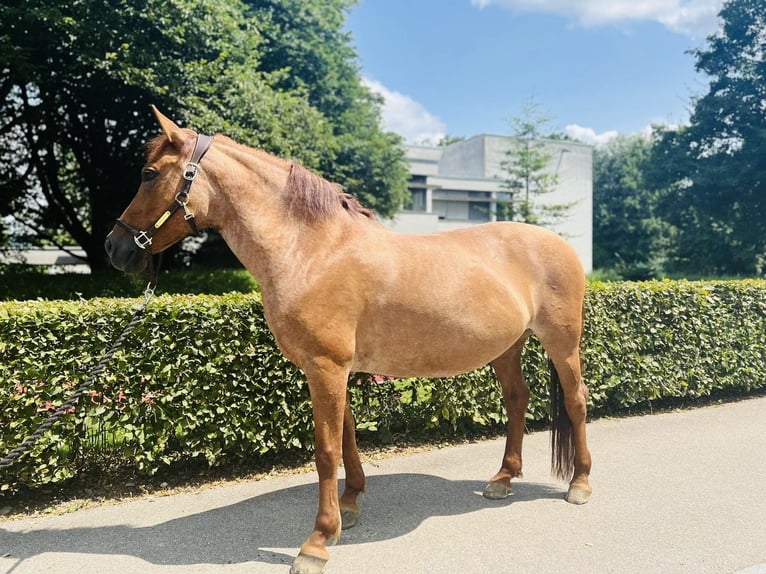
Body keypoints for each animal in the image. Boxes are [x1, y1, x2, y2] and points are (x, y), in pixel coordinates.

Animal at [103, 107, 592, 572]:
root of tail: (560, 243)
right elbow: (348, 435)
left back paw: (580, 483)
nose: (114, 247)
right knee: (517, 399)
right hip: (507, 347)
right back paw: (503, 479)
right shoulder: (331, 369)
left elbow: (325, 450)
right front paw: (351, 503)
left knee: (575, 401)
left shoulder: (326, 367)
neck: (312, 251)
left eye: (149, 174)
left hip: (562, 343)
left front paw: (317, 542)